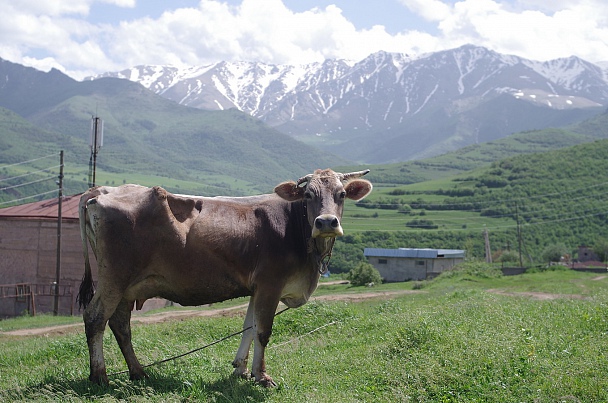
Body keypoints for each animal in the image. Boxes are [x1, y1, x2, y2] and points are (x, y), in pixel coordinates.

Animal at [76, 168, 370, 388]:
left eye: (342, 194)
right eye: (308, 194)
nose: (326, 222)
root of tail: (100, 191)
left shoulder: (257, 288)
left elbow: (249, 328)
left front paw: (241, 369)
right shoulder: (270, 284)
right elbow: (263, 331)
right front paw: (262, 376)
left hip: (128, 286)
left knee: (120, 324)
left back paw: (138, 372)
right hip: (114, 277)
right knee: (96, 318)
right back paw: (99, 376)